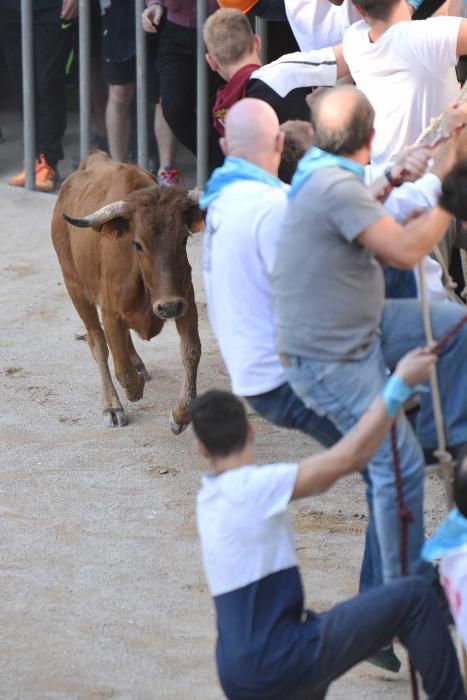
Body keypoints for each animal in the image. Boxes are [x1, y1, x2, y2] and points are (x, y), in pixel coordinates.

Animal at [51, 150, 203, 430]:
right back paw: (111, 405)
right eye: (137, 244)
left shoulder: (186, 302)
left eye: (184, 239)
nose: (168, 307)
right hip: (74, 286)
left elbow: (191, 351)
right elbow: (121, 367)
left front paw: (181, 414)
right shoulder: (110, 313)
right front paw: (132, 392)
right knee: (98, 343)